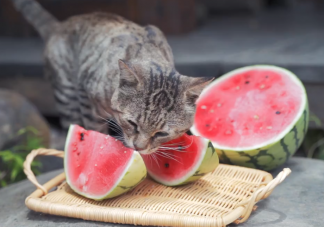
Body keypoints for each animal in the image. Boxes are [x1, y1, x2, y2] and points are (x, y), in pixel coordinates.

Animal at [10, 0, 213, 154]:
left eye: (162, 133)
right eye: (132, 123)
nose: (139, 147)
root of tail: (60, 25)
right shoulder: (88, 101)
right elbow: (94, 131)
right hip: (67, 96)